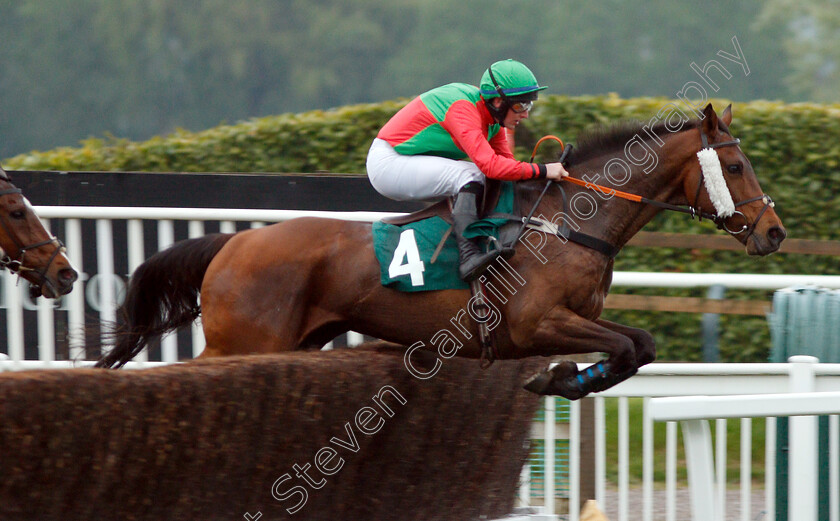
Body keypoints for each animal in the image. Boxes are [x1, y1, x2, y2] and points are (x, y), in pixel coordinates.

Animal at [98, 104, 788, 398]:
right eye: (735, 165)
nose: (775, 232)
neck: (567, 222)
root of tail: (234, 242)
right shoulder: (537, 323)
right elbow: (625, 348)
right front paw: (557, 377)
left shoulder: (573, 320)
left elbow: (638, 346)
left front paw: (563, 379)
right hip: (245, 341)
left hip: (294, 343)